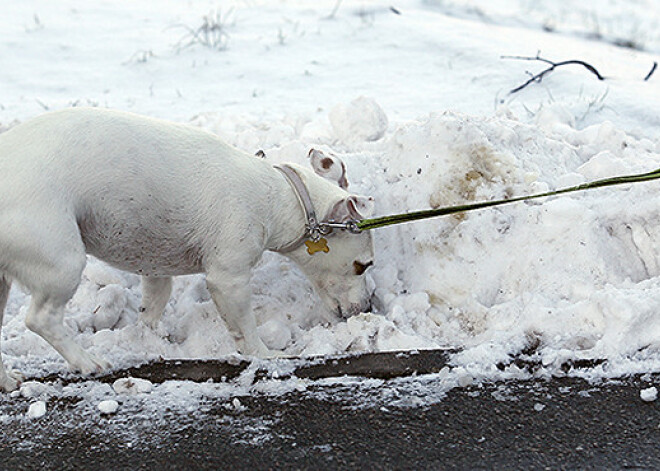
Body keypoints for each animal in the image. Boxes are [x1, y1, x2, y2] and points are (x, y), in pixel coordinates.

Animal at [0, 109, 374, 392]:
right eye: (363, 265)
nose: (368, 308)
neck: (276, 196)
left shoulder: (155, 266)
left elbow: (154, 305)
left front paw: (150, 340)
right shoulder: (229, 278)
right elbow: (246, 326)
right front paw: (266, 354)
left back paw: (7, 380)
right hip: (61, 262)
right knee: (41, 318)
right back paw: (86, 361)